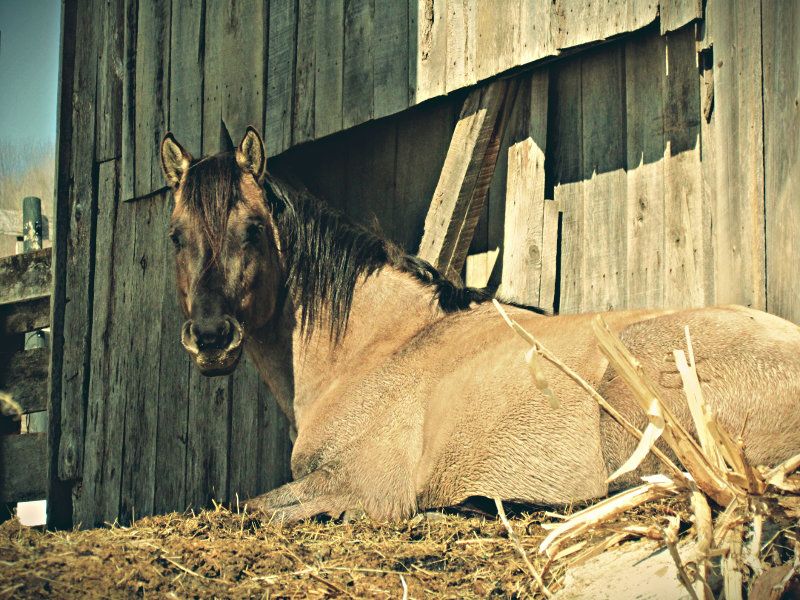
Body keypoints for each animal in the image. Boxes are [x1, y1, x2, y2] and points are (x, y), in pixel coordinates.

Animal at [159, 126, 800, 522]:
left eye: (253, 231)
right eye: (176, 236)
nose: (212, 338)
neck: (378, 346)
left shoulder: (359, 485)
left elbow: (249, 507)